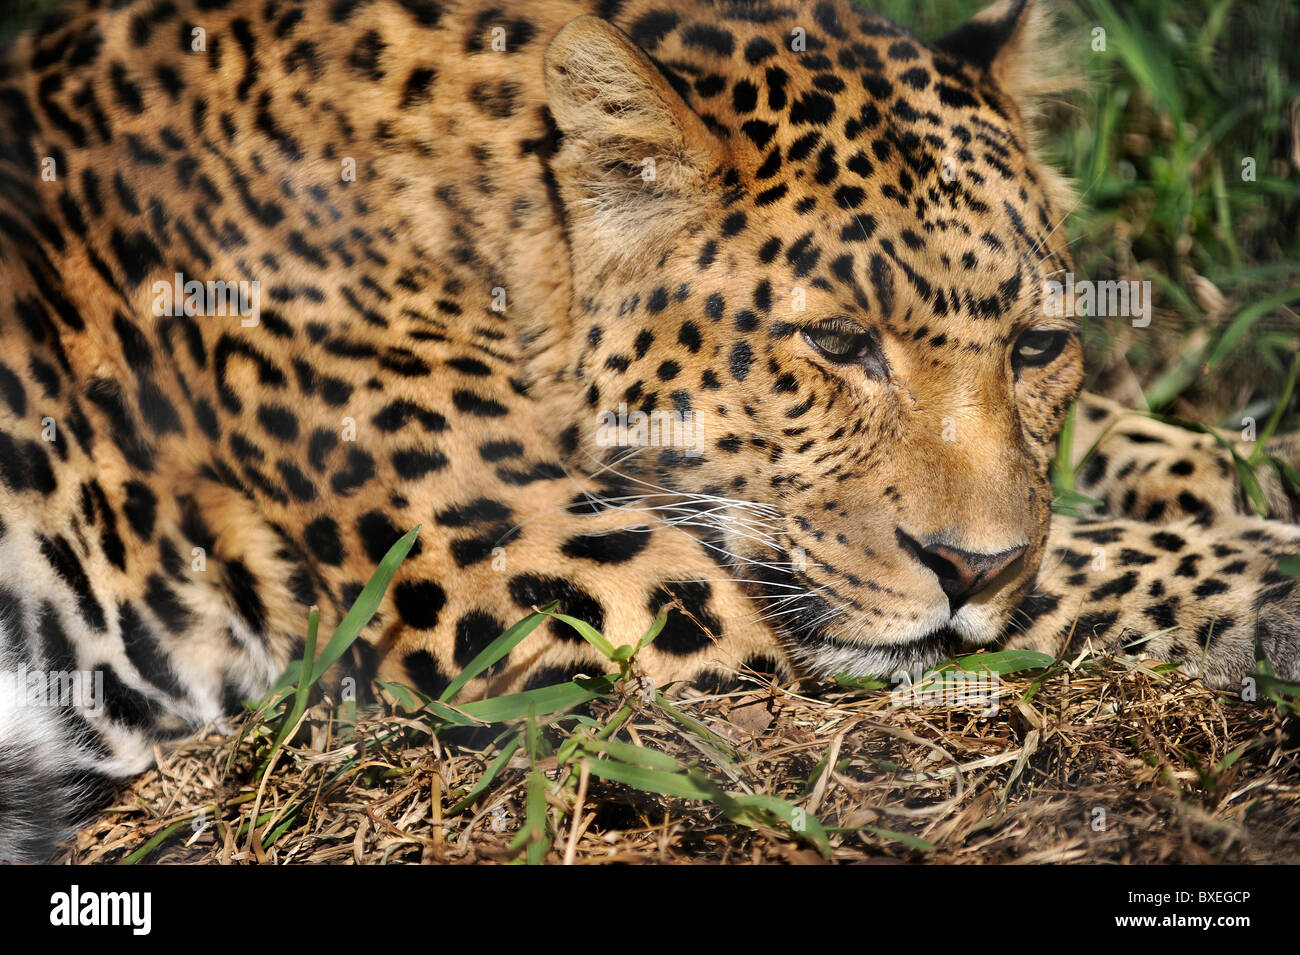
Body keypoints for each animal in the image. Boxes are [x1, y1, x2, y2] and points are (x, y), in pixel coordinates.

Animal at [2, 0, 1300, 867]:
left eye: (1036, 347)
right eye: (836, 342)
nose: (969, 569)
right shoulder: (607, 584)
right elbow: (1071, 563)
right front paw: (1266, 581)